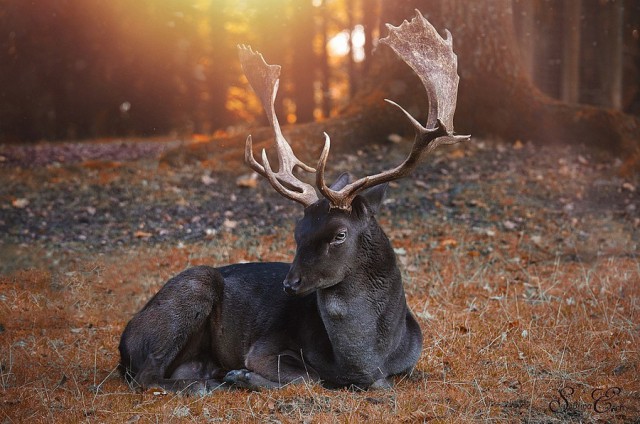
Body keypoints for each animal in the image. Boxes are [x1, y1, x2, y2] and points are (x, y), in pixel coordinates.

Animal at [119, 9, 470, 394]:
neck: (367, 361)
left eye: (339, 234)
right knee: (146, 372)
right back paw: (205, 384)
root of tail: (124, 341)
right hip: (191, 289)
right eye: (297, 232)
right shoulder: (263, 347)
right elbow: (309, 377)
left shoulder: (408, 363)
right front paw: (242, 375)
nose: (290, 285)